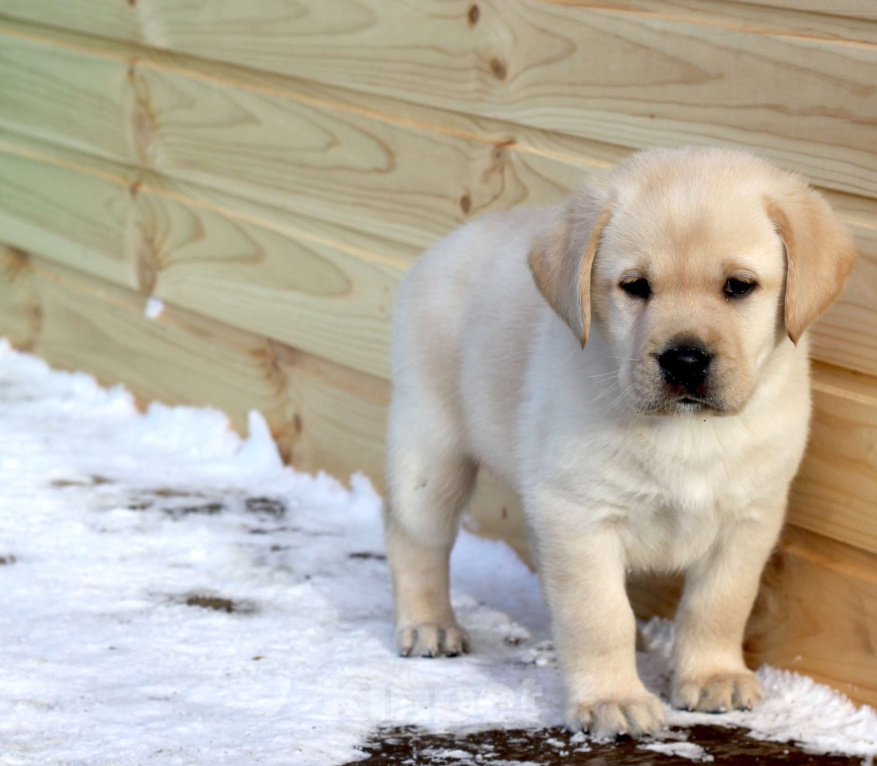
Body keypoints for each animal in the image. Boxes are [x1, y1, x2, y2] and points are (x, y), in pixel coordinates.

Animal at [384, 147, 856, 740]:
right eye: (635, 286)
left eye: (738, 286)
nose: (684, 360)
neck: (686, 432)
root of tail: (441, 246)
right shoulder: (579, 514)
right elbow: (599, 615)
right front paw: (613, 698)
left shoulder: (749, 517)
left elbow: (720, 603)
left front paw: (712, 675)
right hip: (431, 448)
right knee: (415, 539)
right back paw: (429, 625)